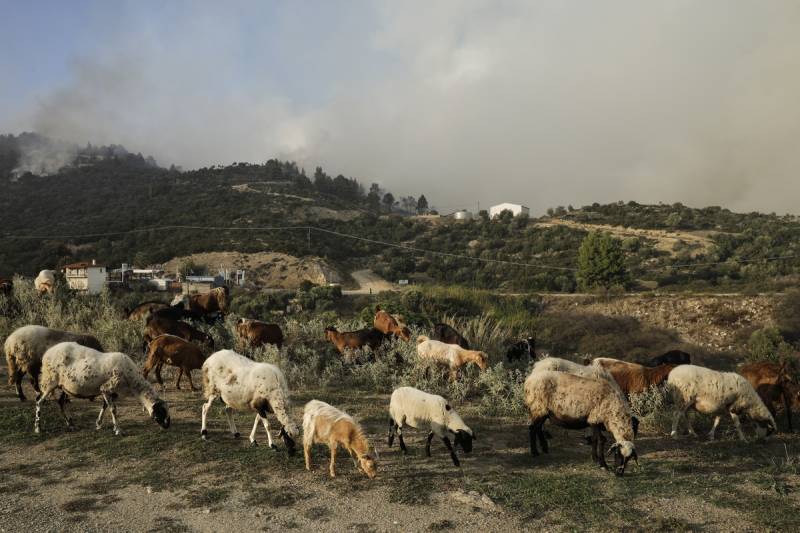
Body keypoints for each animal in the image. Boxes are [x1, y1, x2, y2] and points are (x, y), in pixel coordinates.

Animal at [36, 342, 172, 434]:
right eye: (160, 412)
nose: (167, 427)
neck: (132, 382)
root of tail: (46, 354)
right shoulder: (106, 388)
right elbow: (113, 409)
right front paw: (117, 429)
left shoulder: (112, 392)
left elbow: (105, 406)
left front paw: (98, 424)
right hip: (49, 381)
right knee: (39, 401)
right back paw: (38, 428)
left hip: (64, 386)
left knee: (60, 402)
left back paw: (70, 424)